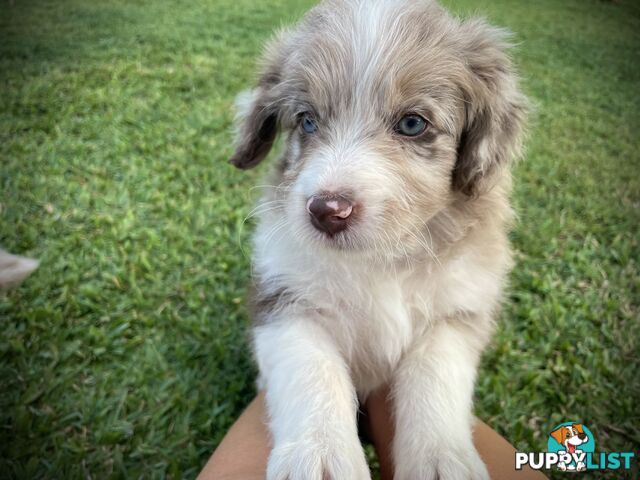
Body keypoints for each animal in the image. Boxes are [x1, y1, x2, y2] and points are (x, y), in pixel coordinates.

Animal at [229, 1, 524, 478]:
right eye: (306, 120)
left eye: (412, 123)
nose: (327, 211)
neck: (379, 260)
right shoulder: (283, 299)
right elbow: (311, 368)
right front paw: (319, 453)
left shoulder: (457, 310)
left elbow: (434, 374)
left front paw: (441, 459)